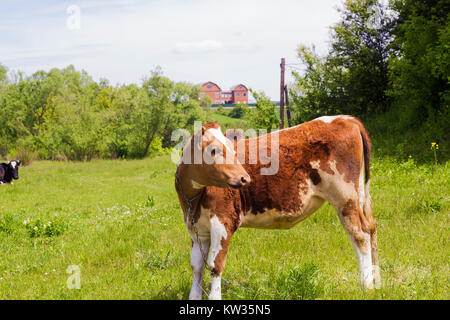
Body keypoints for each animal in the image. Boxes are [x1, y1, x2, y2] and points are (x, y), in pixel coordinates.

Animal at [175, 115, 380, 300]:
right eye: (214, 150)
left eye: (233, 150)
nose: (244, 178)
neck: (194, 200)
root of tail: (347, 119)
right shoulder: (196, 228)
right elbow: (197, 266)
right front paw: (194, 297)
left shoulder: (223, 221)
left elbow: (215, 265)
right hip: (358, 195)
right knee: (370, 228)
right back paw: (376, 281)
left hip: (345, 198)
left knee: (360, 235)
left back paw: (366, 287)